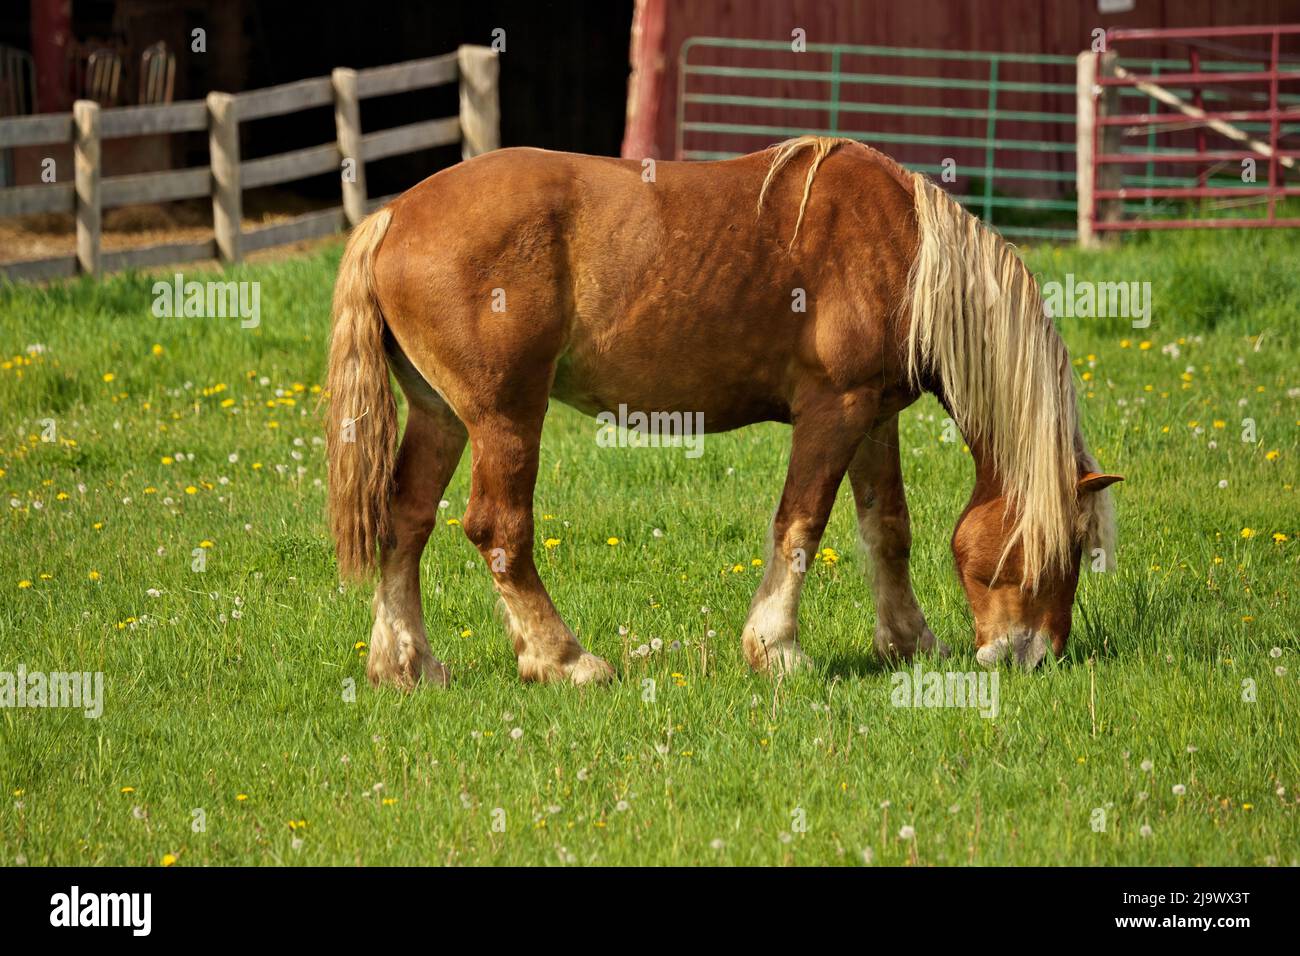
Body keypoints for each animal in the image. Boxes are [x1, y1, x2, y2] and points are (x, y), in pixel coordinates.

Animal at [322, 134, 1118, 686]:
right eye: (1066, 549)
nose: (1033, 657)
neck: (906, 252)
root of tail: (393, 215)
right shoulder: (834, 410)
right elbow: (800, 525)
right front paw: (777, 649)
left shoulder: (875, 417)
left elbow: (887, 529)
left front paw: (910, 643)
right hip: (505, 418)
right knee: (499, 531)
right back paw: (565, 661)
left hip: (440, 417)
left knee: (404, 523)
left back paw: (407, 665)